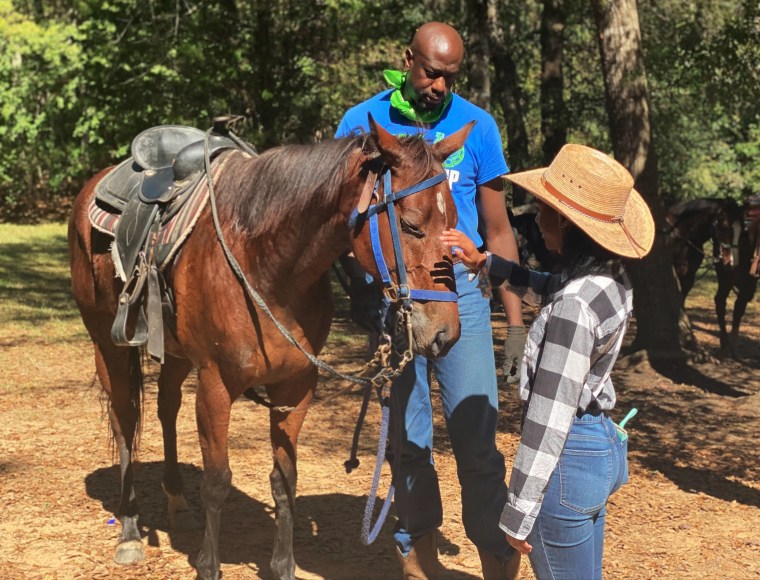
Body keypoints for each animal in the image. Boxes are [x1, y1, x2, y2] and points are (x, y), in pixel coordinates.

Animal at [68, 115, 470, 576]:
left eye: (454, 221)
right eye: (411, 225)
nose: (445, 333)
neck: (266, 265)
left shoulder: (296, 387)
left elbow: (284, 478)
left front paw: (282, 564)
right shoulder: (216, 386)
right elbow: (217, 480)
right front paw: (209, 565)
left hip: (175, 354)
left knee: (166, 408)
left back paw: (177, 504)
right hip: (107, 344)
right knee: (125, 419)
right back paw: (131, 530)